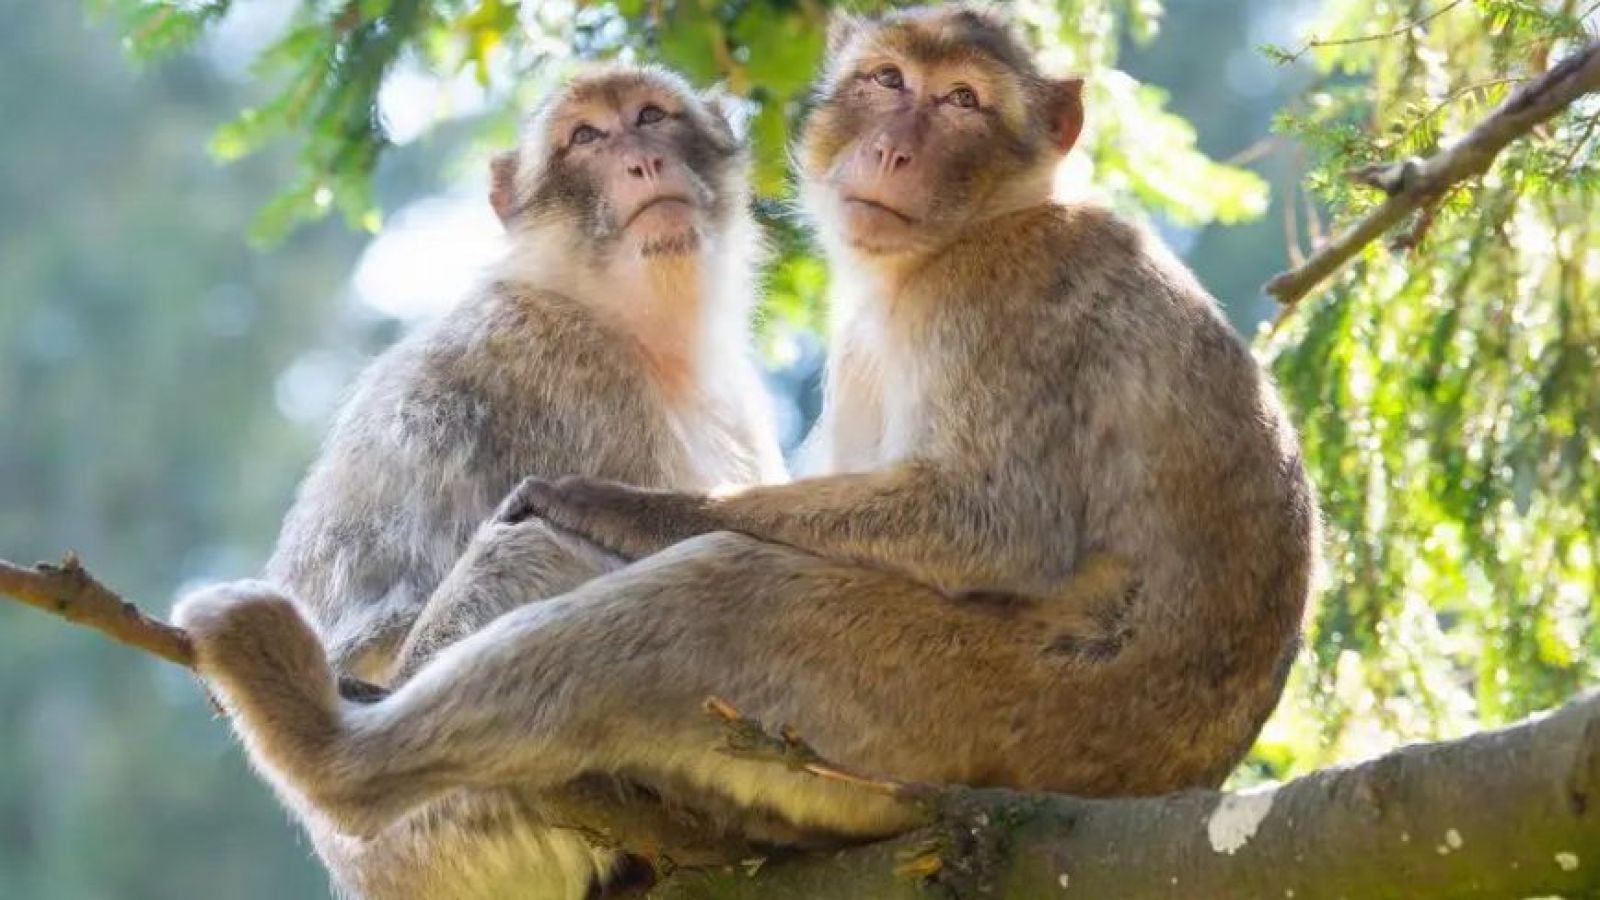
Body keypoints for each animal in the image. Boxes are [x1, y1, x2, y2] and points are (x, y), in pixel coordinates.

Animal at [173, 7, 1317, 898]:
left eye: (959, 102)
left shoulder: (997, 288)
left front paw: (621, 507)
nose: (894, 147)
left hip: (975, 715)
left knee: (697, 606)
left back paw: (334, 756)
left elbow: (992, 522)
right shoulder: (558, 354)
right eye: (886, 84)